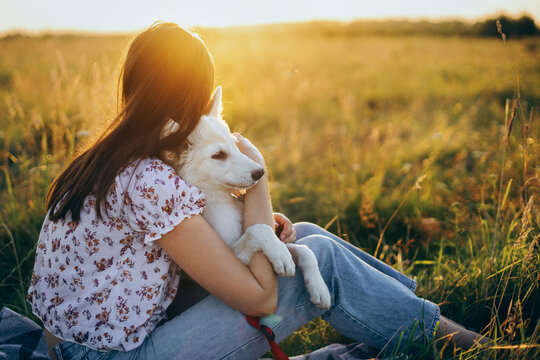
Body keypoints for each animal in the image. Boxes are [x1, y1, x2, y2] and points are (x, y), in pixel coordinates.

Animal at [162, 88, 332, 310]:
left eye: (235, 145)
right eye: (218, 155)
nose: (261, 172)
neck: (220, 198)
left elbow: (304, 250)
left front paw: (319, 287)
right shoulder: (233, 260)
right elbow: (259, 230)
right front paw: (280, 254)